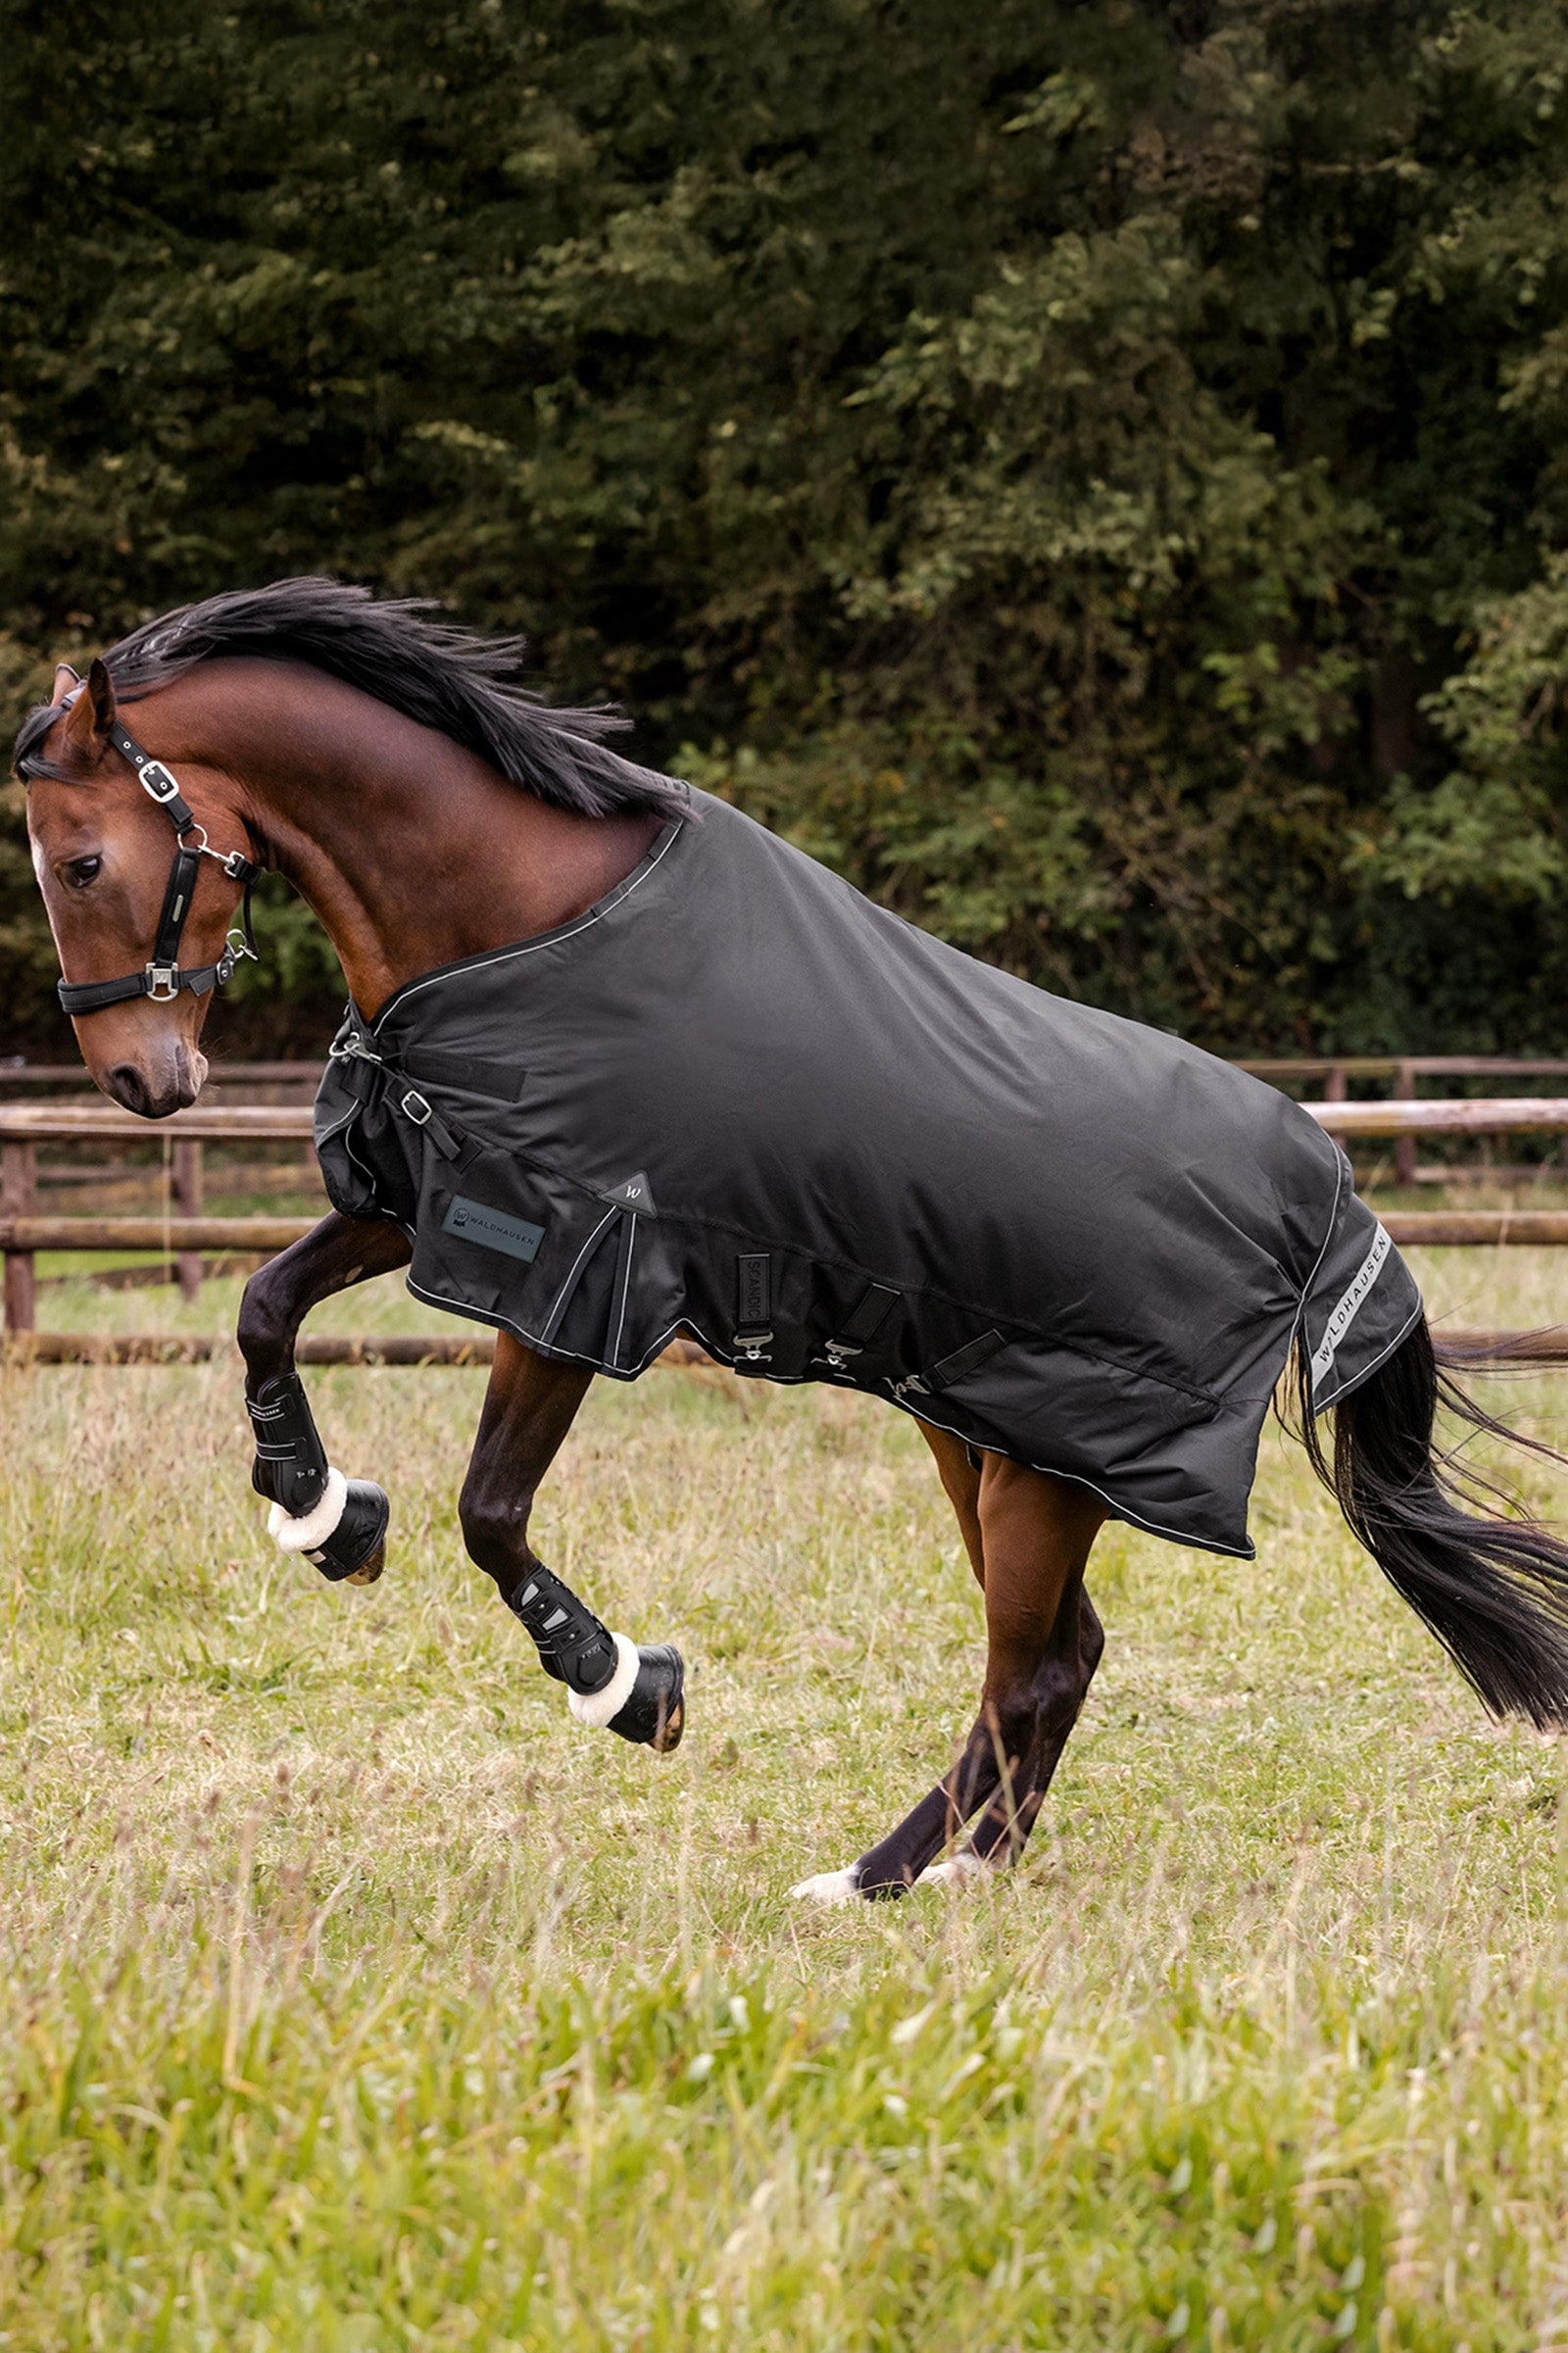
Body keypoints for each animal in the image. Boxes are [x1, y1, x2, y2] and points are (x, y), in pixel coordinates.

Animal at [17, 578, 1568, 1904]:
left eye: (83, 858)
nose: (142, 1080)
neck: (521, 919)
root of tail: (1326, 1197)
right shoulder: (438, 1197)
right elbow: (261, 1309)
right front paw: (322, 1513)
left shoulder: (578, 1263)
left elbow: (491, 1509)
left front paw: (625, 1685)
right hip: (985, 1435)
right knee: (1058, 1659)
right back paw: (954, 1872)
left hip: (1045, 1466)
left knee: (1031, 1670)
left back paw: (884, 1881)